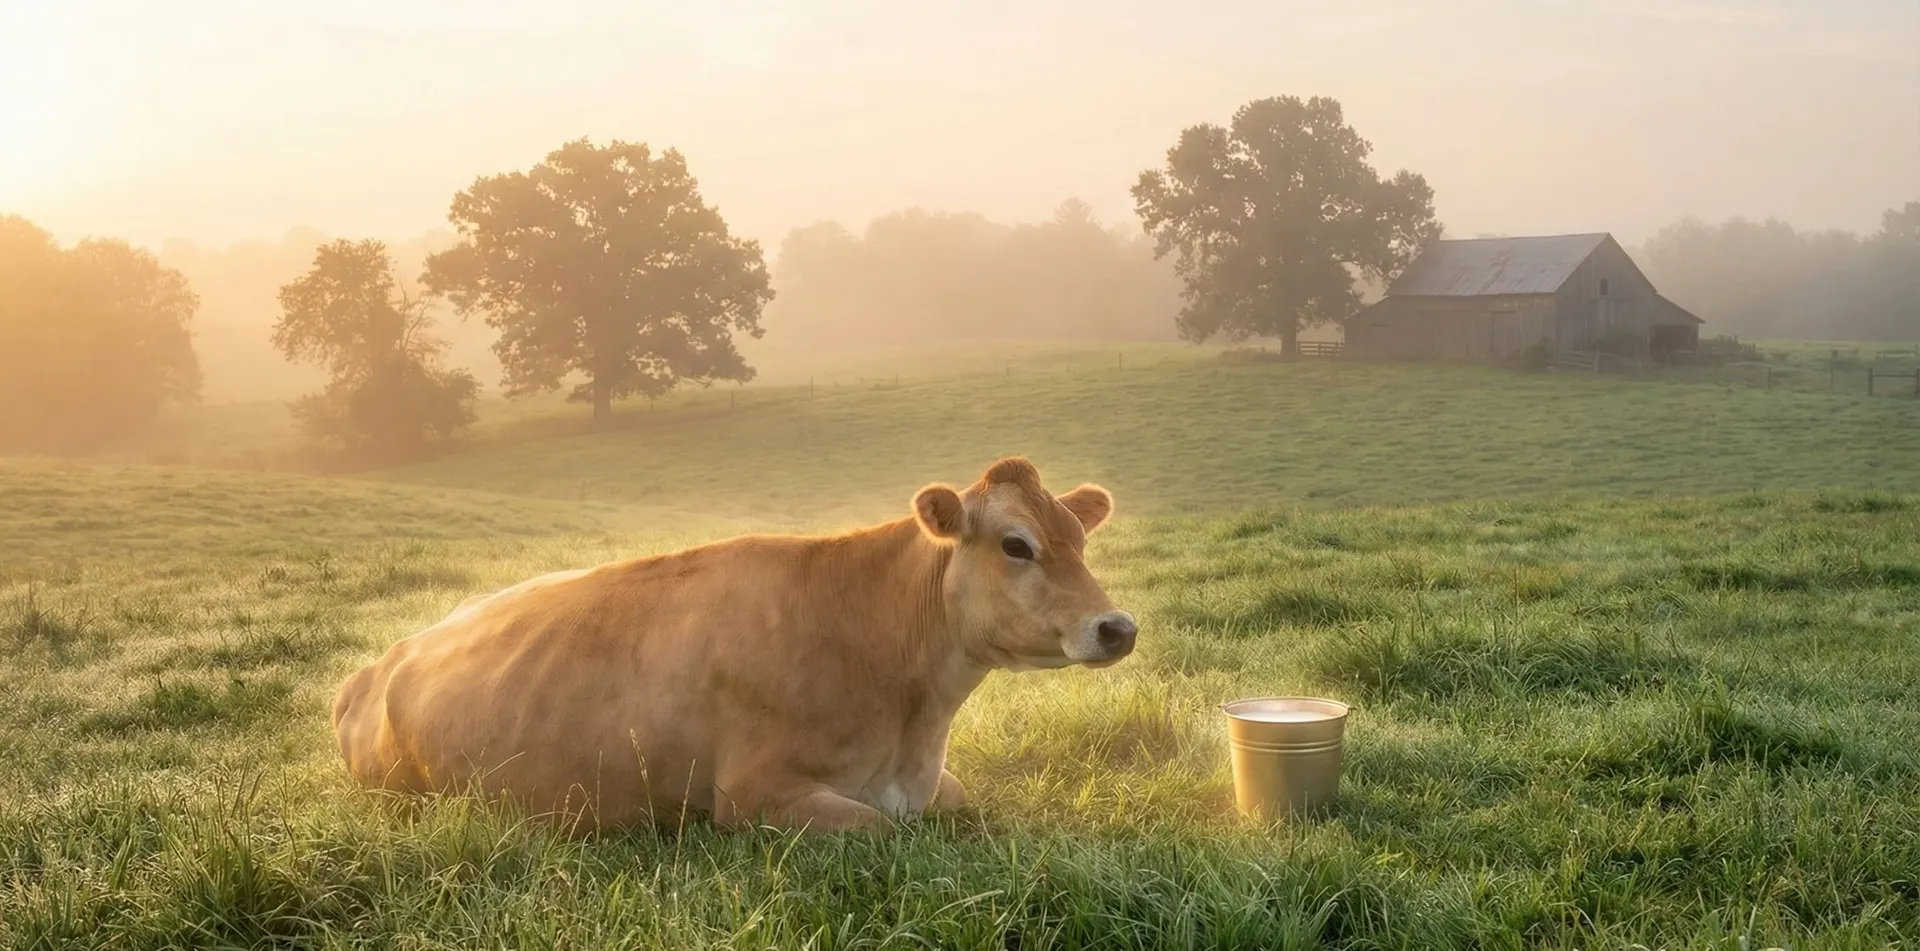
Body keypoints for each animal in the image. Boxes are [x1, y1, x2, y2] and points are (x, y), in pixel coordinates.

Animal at [330, 457, 1138, 833]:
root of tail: (375, 664)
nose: (1118, 626)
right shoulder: (752, 794)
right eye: (1016, 544)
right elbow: (880, 827)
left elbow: (958, 799)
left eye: (1079, 535)